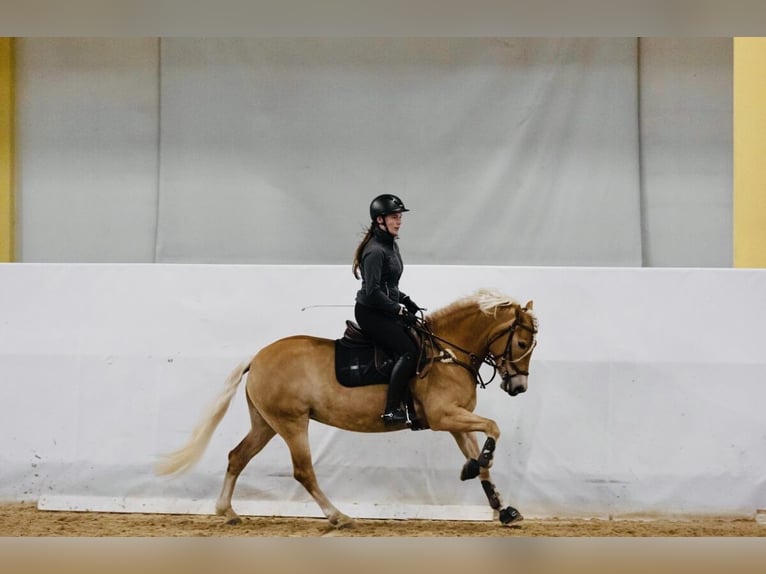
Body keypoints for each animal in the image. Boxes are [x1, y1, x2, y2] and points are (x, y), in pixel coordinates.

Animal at [155, 288, 539, 529]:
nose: (518, 388)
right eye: (522, 343)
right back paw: (339, 517)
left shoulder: (456, 421)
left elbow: (483, 458)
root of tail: (258, 357)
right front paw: (477, 471)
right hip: (291, 423)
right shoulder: (444, 416)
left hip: (265, 423)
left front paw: (502, 507)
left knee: (237, 457)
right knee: (303, 471)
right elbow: (493, 429)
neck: (447, 353)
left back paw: (228, 512)